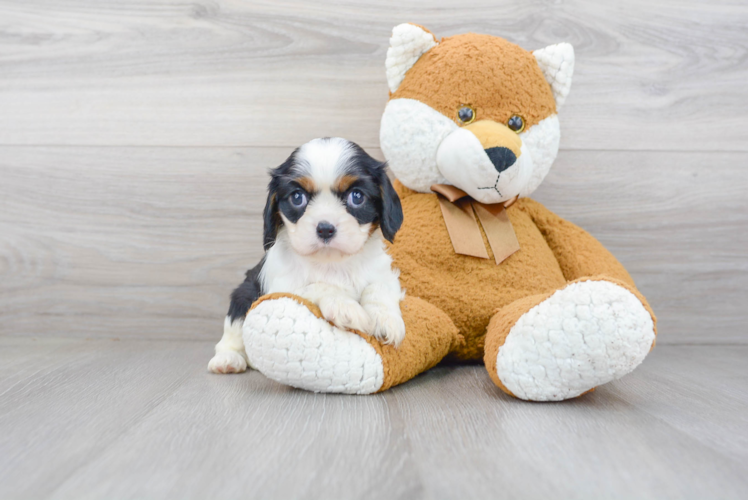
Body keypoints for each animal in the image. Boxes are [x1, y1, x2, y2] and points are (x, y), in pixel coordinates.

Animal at [207, 139, 406, 374]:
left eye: (356, 197)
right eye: (297, 197)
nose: (325, 229)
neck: (332, 263)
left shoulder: (384, 274)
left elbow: (378, 288)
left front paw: (385, 319)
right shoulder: (282, 288)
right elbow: (318, 286)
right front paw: (345, 306)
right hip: (243, 295)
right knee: (232, 333)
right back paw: (228, 360)